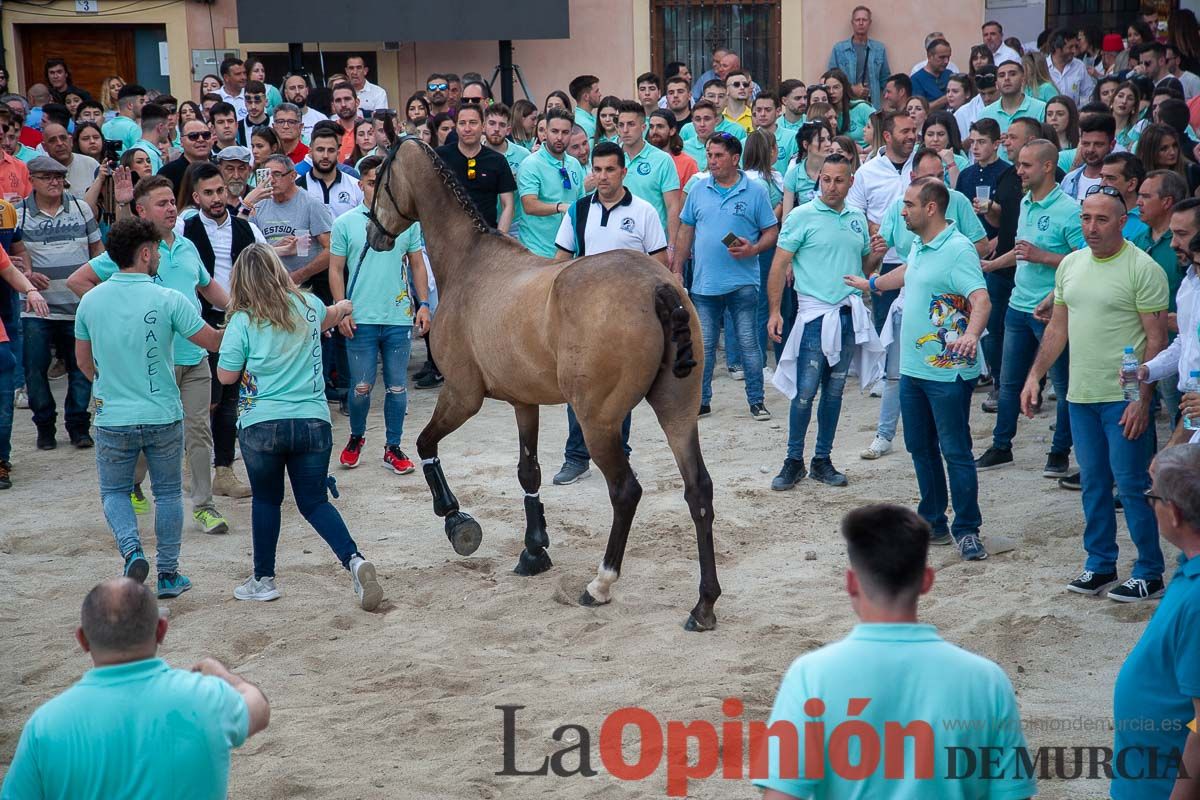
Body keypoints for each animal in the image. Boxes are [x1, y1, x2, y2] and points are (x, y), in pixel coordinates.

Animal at [364, 140, 720, 633]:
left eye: (379, 178)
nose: (373, 232)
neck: (472, 263)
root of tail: (657, 284)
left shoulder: (461, 396)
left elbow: (424, 444)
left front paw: (456, 520)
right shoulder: (523, 403)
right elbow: (527, 473)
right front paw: (534, 550)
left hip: (597, 423)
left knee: (625, 492)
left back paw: (600, 584)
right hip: (677, 411)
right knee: (698, 490)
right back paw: (703, 605)